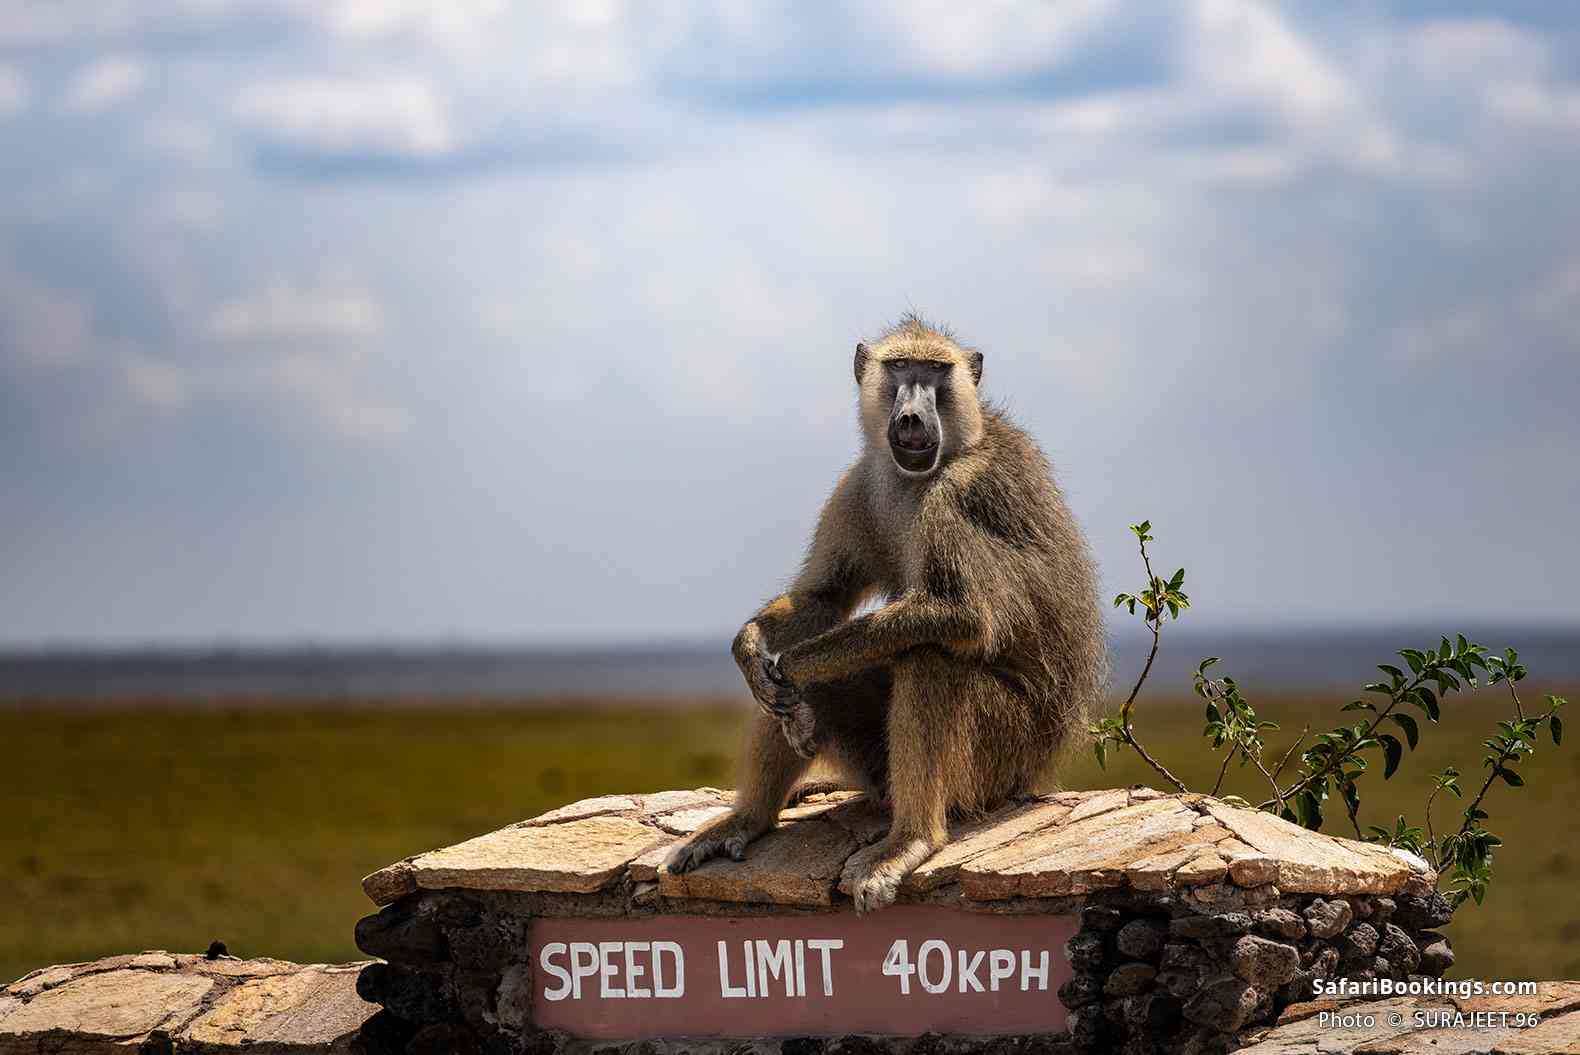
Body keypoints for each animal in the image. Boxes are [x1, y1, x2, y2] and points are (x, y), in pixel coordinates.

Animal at [665, 315, 1106, 913]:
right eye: (899, 367)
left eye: (935, 371)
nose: (913, 415)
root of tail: (1038, 774)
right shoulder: (858, 483)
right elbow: (823, 600)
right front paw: (751, 648)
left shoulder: (958, 495)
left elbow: (962, 617)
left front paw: (792, 665)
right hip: (877, 762)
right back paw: (748, 818)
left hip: (1005, 754)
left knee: (928, 656)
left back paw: (911, 839)